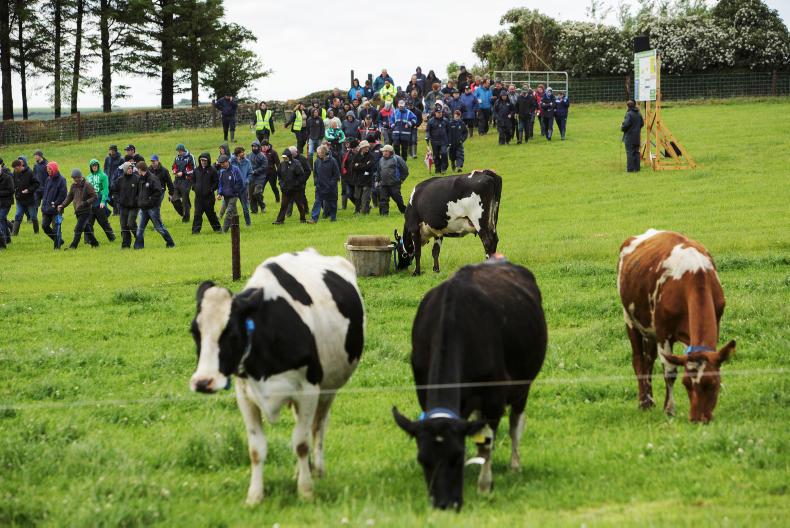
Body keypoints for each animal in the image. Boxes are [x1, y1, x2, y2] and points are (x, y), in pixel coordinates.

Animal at [189, 249, 365, 504]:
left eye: (232, 334)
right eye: (195, 332)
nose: (203, 382)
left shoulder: (309, 390)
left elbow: (301, 443)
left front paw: (306, 491)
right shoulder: (245, 396)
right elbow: (256, 449)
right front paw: (254, 496)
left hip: (329, 387)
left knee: (318, 427)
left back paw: (317, 469)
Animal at [392, 257, 546, 510]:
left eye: (455, 457)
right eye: (423, 460)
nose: (443, 504)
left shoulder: (494, 397)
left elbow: (486, 442)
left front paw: (484, 485)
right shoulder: (423, 391)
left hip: (522, 386)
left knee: (515, 424)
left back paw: (514, 465)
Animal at [618, 229, 735, 423]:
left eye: (712, 384)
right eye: (686, 384)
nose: (697, 418)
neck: (695, 275)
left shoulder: (715, 323)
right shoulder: (663, 332)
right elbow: (670, 372)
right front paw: (669, 409)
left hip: (650, 329)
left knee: (649, 361)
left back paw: (650, 400)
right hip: (630, 319)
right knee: (638, 360)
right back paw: (644, 402)